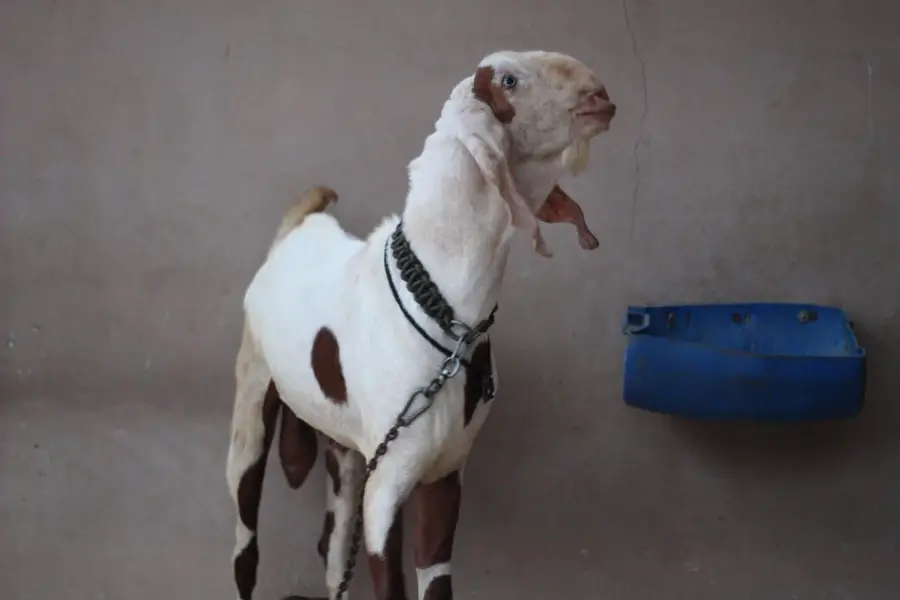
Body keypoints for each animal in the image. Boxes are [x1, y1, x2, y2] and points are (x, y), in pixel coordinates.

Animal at [226, 50, 616, 600]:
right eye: (509, 80)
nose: (600, 97)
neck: (450, 329)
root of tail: (297, 228)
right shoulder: (388, 487)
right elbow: (390, 584)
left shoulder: (444, 475)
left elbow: (435, 579)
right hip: (252, 403)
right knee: (245, 543)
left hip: (346, 449)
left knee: (331, 547)